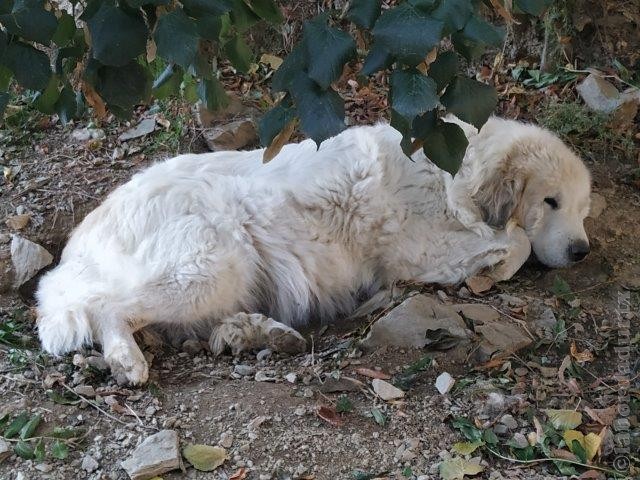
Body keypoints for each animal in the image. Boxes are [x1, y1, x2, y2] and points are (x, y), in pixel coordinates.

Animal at [35, 116, 592, 382]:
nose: (582, 252)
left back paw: (255, 333)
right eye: (550, 201)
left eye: (583, 209)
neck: (456, 168)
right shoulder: (419, 250)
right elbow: (517, 240)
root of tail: (82, 239)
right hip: (213, 260)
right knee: (107, 308)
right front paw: (495, 265)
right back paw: (127, 361)